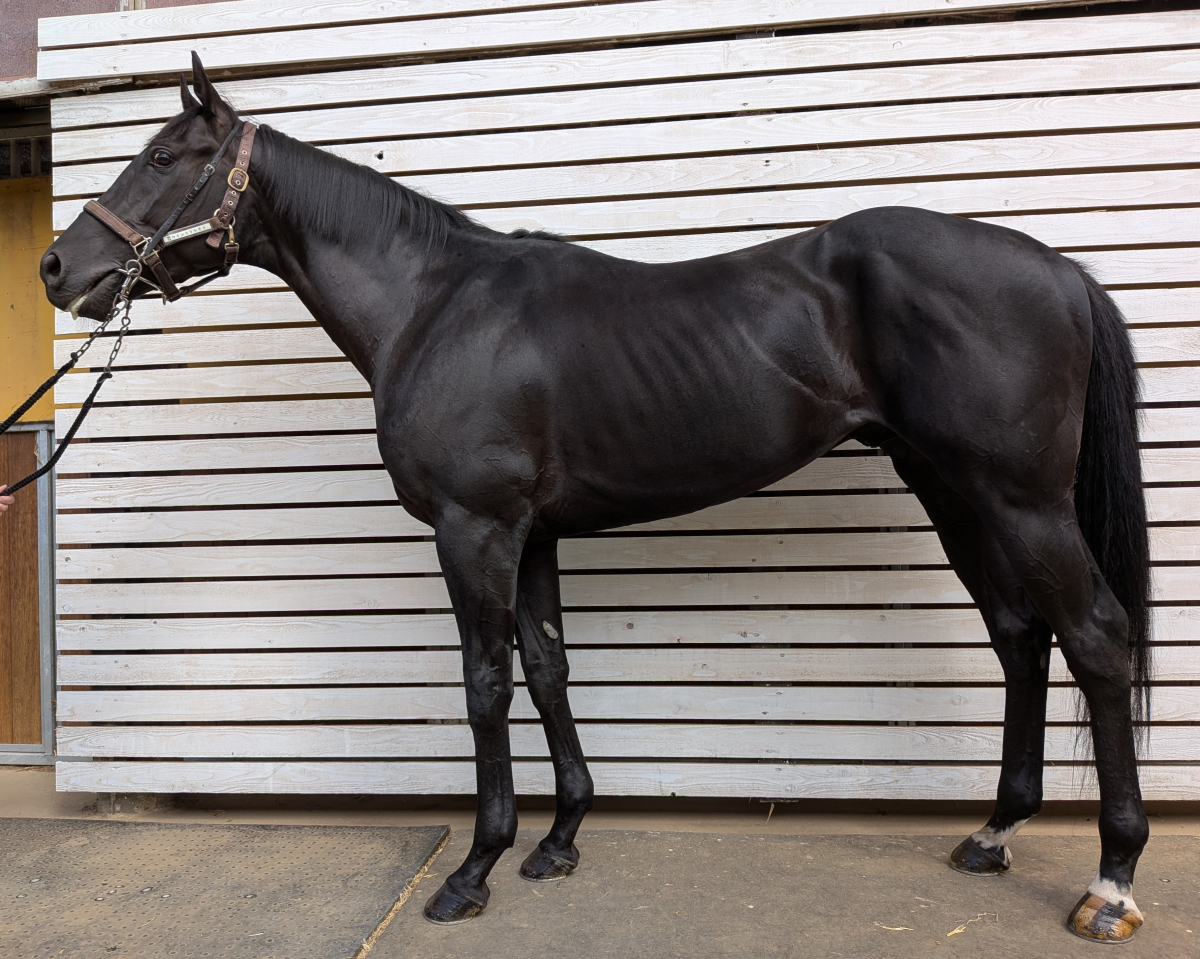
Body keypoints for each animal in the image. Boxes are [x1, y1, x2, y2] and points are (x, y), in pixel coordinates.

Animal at [42, 54, 1151, 941]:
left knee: (1095, 637)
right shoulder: (532, 533)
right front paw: (561, 839)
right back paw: (993, 832)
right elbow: (547, 670)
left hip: (1020, 499)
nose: (59, 267)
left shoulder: (476, 529)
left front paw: (475, 869)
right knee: (1020, 635)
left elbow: (486, 682)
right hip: (954, 490)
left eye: (162, 158)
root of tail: (1057, 268)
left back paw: (1110, 880)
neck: (435, 304)